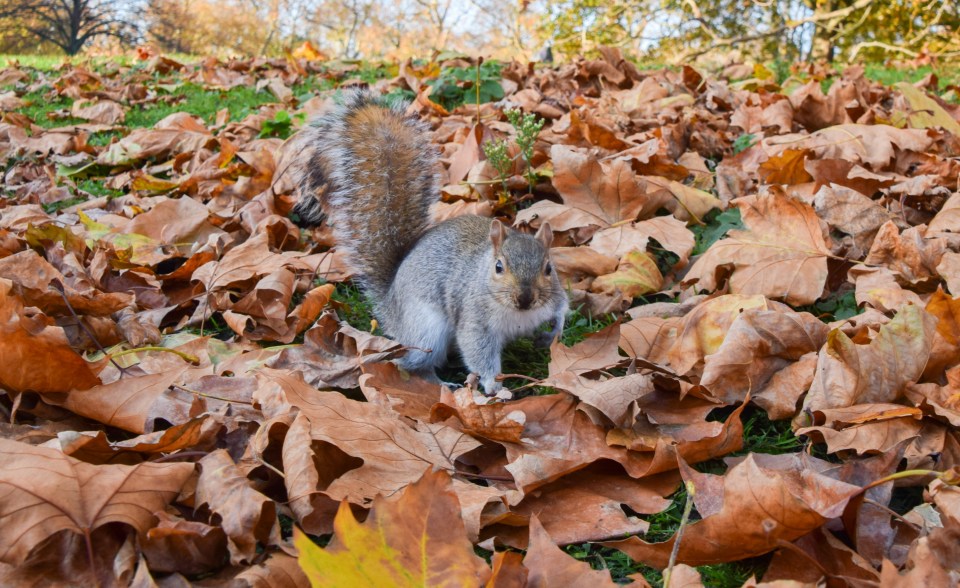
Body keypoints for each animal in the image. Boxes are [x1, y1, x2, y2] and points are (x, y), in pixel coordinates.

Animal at [290, 90, 564, 396]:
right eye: (498, 267)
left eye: (549, 268)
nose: (526, 298)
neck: (517, 314)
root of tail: (392, 304)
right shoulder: (475, 321)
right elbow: (478, 352)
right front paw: (494, 386)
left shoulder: (554, 298)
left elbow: (562, 309)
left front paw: (553, 332)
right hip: (426, 330)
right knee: (417, 364)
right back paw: (443, 384)